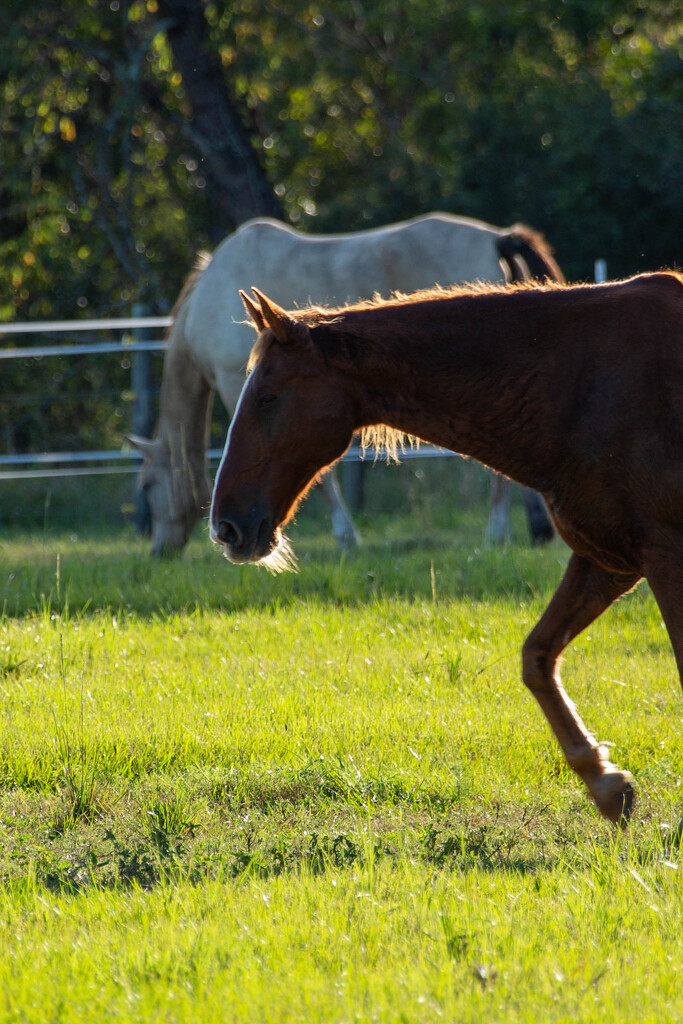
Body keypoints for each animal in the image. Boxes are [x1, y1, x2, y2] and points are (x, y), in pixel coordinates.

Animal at [129, 210, 561, 557]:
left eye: (148, 486)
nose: (158, 552)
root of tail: (496, 236)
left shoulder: (240, 384)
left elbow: (319, 476)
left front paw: (346, 537)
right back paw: (538, 531)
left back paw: (497, 533)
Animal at [210, 274, 683, 823]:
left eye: (267, 398)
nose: (224, 527)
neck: (580, 385)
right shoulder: (609, 560)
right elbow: (536, 657)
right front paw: (606, 783)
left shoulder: (664, 557)